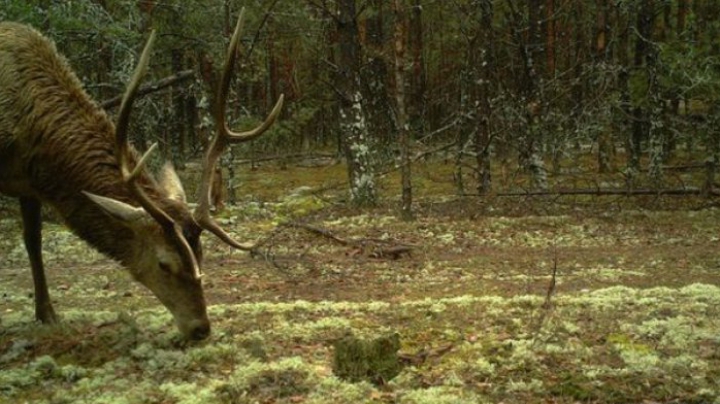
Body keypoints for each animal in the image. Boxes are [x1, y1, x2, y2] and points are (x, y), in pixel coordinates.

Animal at [0, 8, 284, 340]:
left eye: (201, 255)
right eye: (163, 264)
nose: (201, 328)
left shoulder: (29, 184)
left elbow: (33, 241)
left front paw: (47, 315)